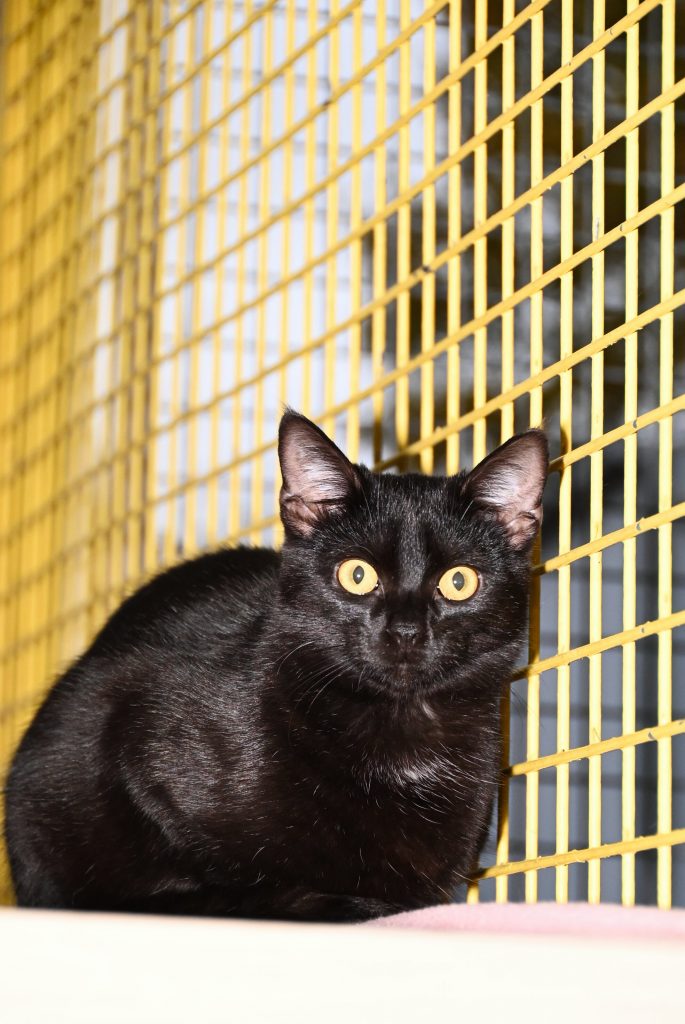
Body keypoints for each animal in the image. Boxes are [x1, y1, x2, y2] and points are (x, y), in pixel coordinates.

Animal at [5, 410, 548, 922]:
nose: (406, 631)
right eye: (356, 575)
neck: (402, 729)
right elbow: (233, 878)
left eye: (459, 582)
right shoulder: (134, 733)